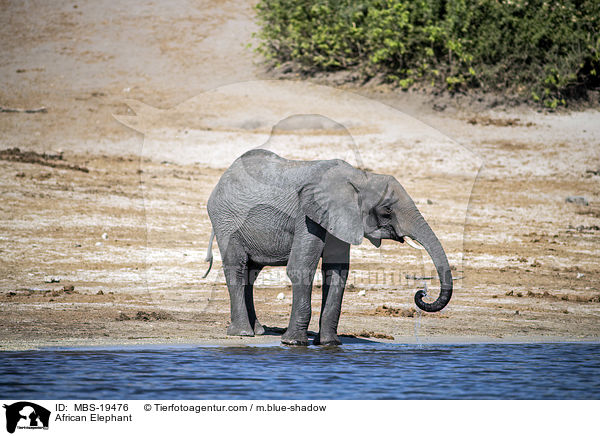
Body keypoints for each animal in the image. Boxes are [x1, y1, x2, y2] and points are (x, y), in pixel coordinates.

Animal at [204, 148, 452, 346]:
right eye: (387, 210)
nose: (422, 293)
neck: (359, 177)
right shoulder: (307, 215)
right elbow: (300, 268)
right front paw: (294, 343)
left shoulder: (339, 217)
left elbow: (337, 271)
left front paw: (329, 343)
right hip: (226, 221)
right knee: (237, 268)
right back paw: (242, 333)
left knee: (251, 273)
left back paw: (258, 330)